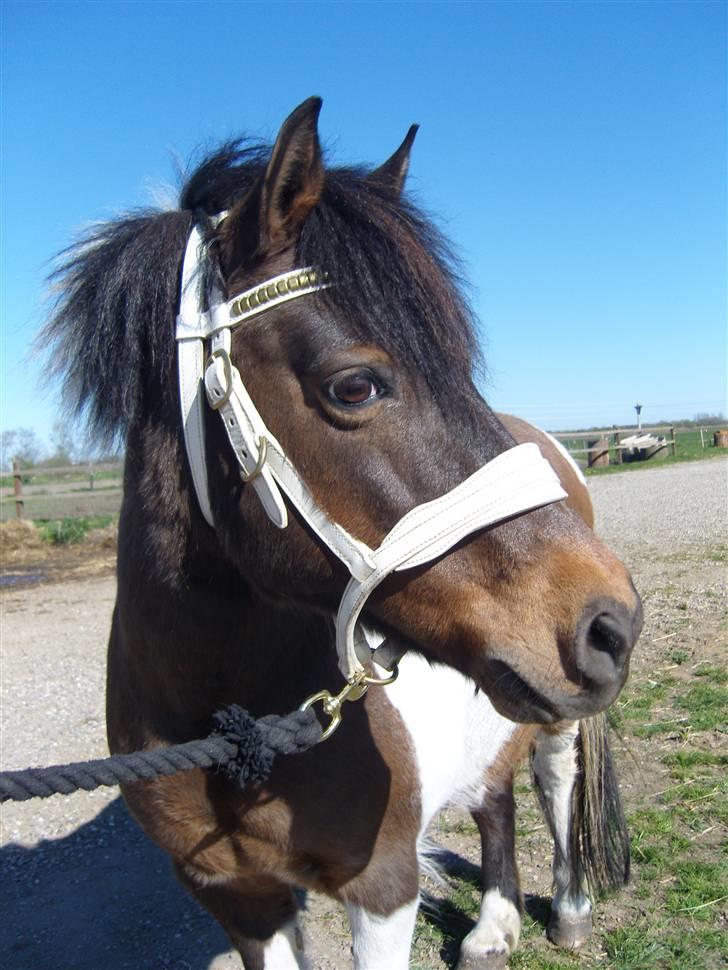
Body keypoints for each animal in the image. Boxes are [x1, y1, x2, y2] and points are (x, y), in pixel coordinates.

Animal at [42, 100, 640, 968]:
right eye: (354, 386)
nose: (613, 623)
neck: (235, 729)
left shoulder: (382, 890)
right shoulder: (241, 900)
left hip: (556, 718)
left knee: (552, 779)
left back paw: (565, 907)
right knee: (493, 793)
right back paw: (492, 924)